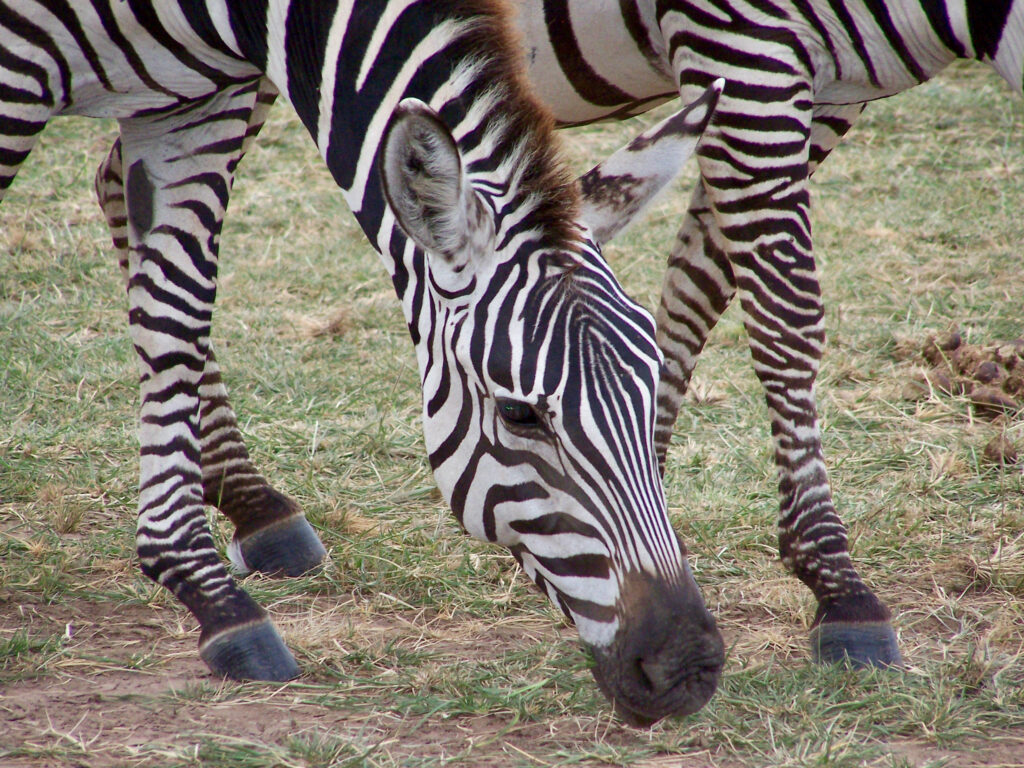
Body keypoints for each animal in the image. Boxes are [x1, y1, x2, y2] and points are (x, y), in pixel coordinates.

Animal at [4, 0, 733, 724]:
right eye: (520, 414)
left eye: (655, 384)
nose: (687, 668)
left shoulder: (199, 107)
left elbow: (175, 316)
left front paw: (205, 590)